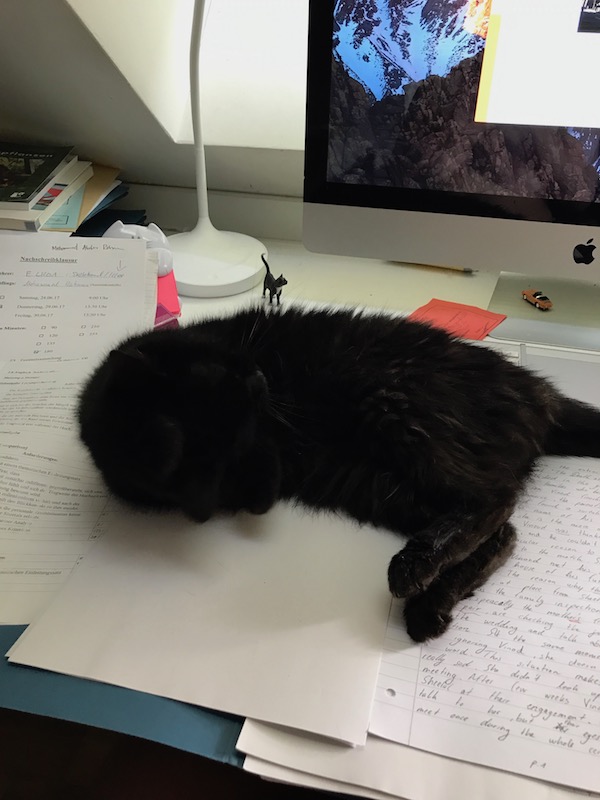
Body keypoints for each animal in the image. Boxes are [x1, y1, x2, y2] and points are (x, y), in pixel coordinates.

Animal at [77, 305, 600, 642]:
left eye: (227, 375)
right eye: (235, 403)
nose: (259, 379)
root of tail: (537, 391)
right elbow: (253, 489)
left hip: (393, 398)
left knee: (494, 499)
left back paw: (412, 571)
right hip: (383, 486)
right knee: (501, 526)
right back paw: (429, 603)